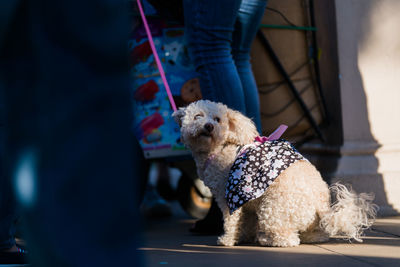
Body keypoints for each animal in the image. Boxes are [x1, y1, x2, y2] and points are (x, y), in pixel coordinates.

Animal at [173, 101, 378, 249]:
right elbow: (246, 221)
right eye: (198, 116)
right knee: (315, 235)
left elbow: (232, 221)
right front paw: (244, 236)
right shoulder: (246, 203)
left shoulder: (229, 198)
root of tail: (322, 207)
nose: (208, 126)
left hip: (271, 209)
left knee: (289, 239)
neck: (222, 146)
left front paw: (228, 240)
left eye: (217, 119)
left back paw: (269, 240)